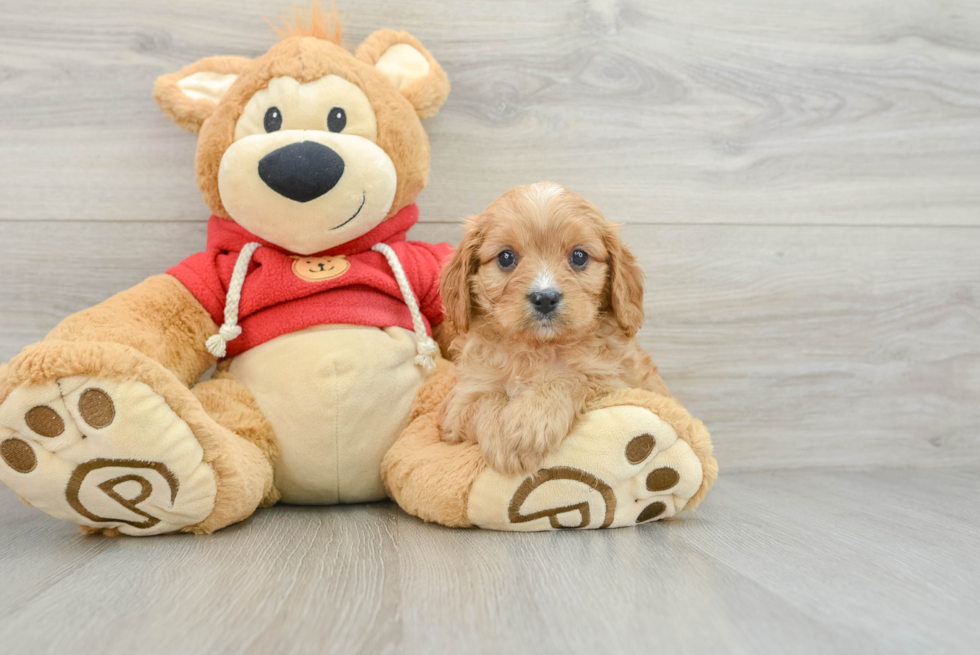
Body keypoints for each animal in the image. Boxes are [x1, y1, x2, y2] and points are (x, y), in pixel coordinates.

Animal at [442, 182, 672, 474]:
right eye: (505, 257)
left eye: (579, 256)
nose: (545, 298)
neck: (538, 349)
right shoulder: (457, 405)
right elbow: (484, 399)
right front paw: (502, 438)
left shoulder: (618, 384)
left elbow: (574, 377)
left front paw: (528, 423)